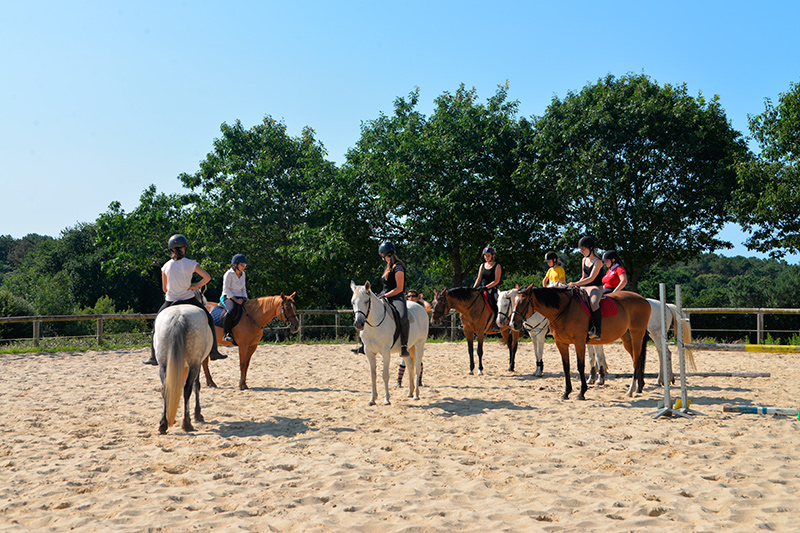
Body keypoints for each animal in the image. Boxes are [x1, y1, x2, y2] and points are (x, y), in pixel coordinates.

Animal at [154, 304, 214, 432]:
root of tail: (178, 317)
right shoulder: (197, 364)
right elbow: (196, 386)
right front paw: (197, 414)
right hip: (194, 363)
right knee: (187, 389)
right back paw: (187, 423)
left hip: (163, 365)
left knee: (165, 389)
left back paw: (163, 424)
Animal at [512, 282, 648, 400]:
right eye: (514, 301)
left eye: (524, 301)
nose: (514, 324)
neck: (565, 310)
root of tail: (644, 299)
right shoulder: (561, 343)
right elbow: (566, 366)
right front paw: (566, 392)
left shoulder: (579, 342)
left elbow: (580, 365)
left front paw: (582, 392)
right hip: (627, 338)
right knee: (637, 359)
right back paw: (639, 387)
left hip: (637, 335)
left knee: (636, 360)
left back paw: (631, 390)